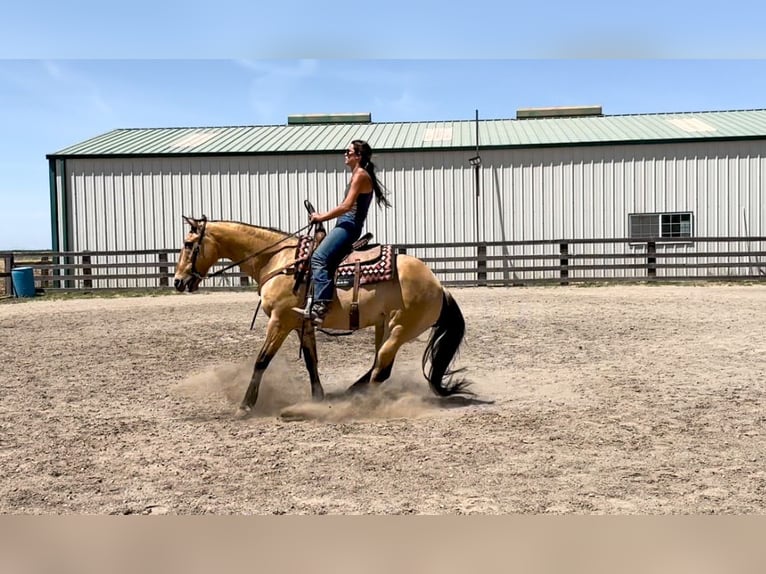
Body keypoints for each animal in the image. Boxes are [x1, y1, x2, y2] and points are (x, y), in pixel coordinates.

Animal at [173, 216, 471, 414]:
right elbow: (311, 361)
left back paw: (361, 403)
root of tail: (439, 286)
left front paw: (245, 406)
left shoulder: (280, 322)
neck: (279, 261)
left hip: (400, 329)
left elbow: (262, 361)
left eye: (188, 244)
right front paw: (318, 397)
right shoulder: (303, 324)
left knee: (382, 368)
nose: (177, 281)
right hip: (383, 326)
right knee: (378, 362)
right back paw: (352, 392)